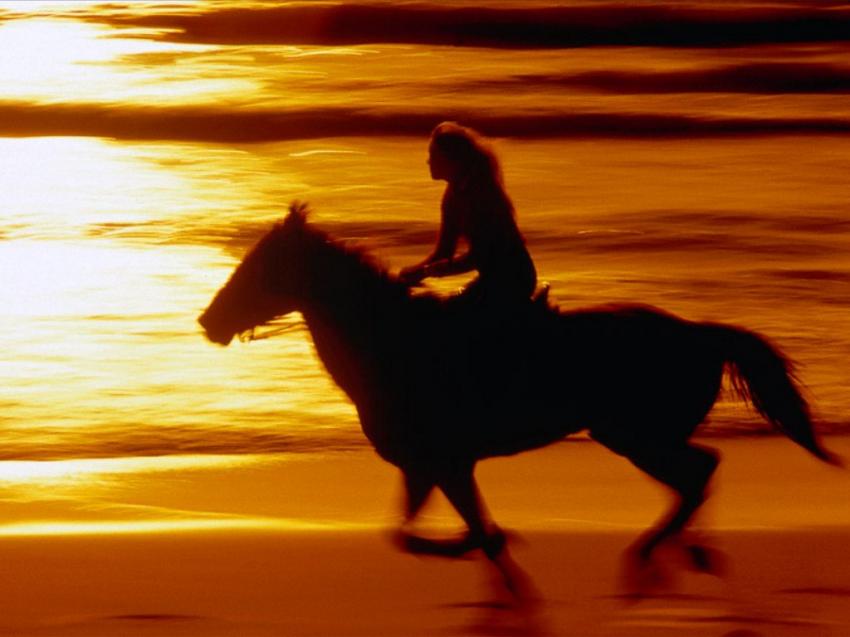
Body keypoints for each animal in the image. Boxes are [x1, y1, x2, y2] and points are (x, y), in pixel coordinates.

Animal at [198, 202, 838, 598]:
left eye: (258, 267)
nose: (209, 322)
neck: (390, 343)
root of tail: (702, 333)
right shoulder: (431, 467)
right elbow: (419, 533)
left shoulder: (444, 463)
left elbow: (463, 534)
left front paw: (501, 566)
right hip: (638, 436)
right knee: (698, 475)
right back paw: (686, 556)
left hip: (635, 436)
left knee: (699, 472)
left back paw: (652, 561)